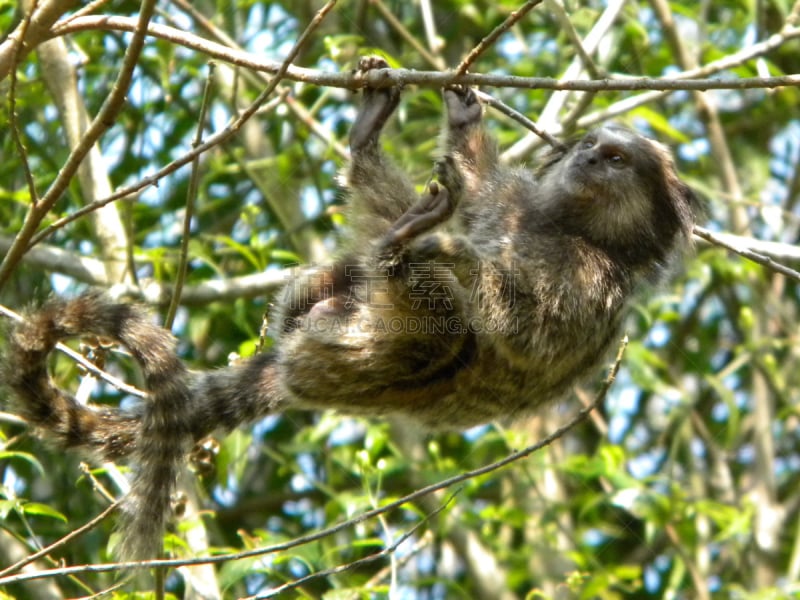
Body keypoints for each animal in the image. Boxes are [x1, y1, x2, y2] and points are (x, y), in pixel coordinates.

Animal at [1, 57, 700, 564]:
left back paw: (407, 248)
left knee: (441, 327)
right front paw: (463, 121)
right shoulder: (513, 204)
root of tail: (295, 374)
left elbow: (526, 333)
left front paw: (454, 252)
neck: (571, 229)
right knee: (368, 259)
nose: (588, 154)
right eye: (592, 144)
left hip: (367, 355)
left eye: (617, 159)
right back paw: (367, 171)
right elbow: (477, 193)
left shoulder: (590, 282)